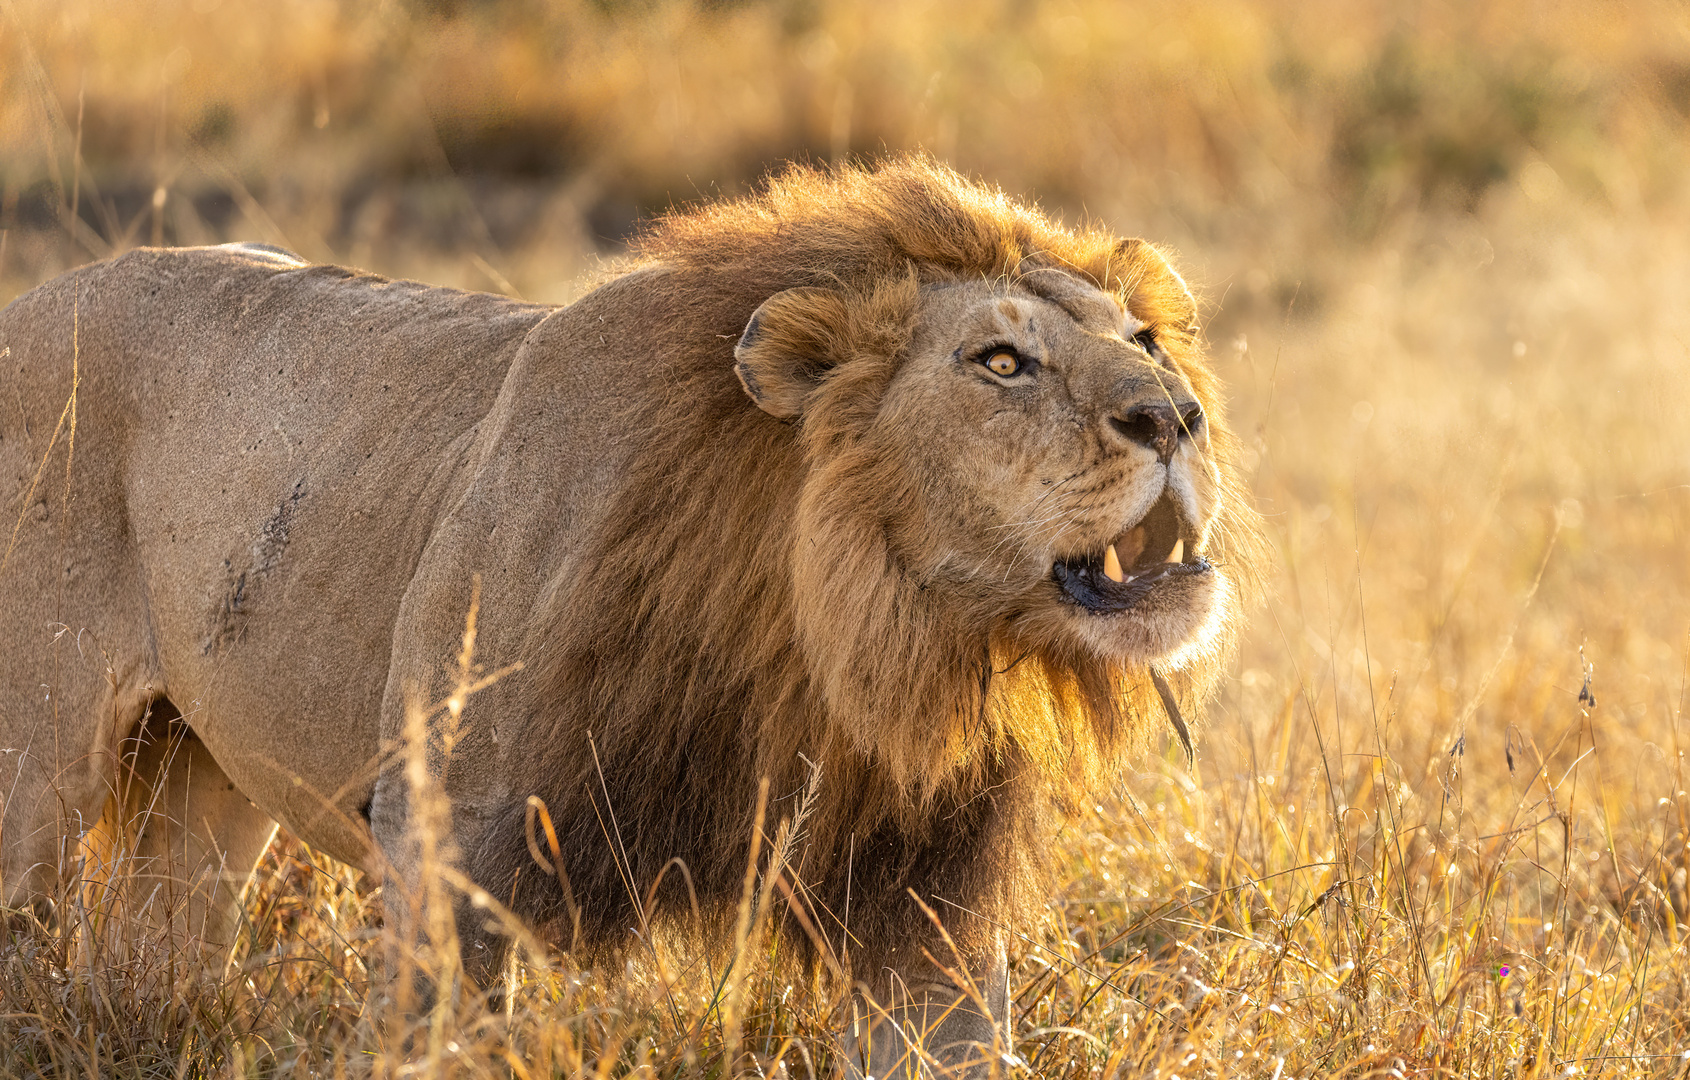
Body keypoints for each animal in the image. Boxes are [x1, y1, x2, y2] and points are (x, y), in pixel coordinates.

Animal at [0, 158, 1264, 1074]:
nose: (1176, 417)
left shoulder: (920, 900)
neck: (825, 634)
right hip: (33, 782)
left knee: (153, 953)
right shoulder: (445, 850)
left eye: (1144, 342)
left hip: (197, 785)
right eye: (999, 361)